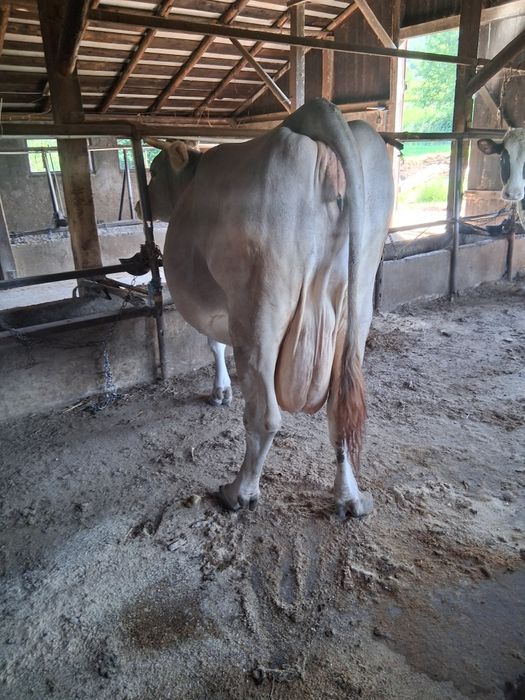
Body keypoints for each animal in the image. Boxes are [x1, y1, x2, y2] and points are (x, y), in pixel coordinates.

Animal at [144, 99, 394, 518]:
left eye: (153, 170)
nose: (140, 199)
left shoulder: (216, 306)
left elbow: (213, 344)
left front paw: (220, 392)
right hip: (356, 309)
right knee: (341, 411)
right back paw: (350, 498)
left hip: (259, 311)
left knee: (265, 417)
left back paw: (239, 492)